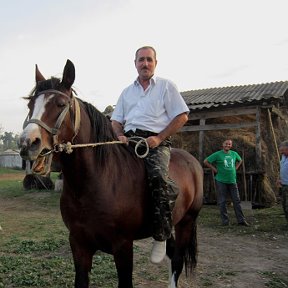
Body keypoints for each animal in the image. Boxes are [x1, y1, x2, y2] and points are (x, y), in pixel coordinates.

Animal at [19, 60, 204, 288]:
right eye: (30, 105)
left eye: (61, 104)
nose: (27, 143)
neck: (97, 182)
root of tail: (192, 161)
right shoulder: (78, 244)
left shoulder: (123, 246)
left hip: (187, 221)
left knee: (177, 260)